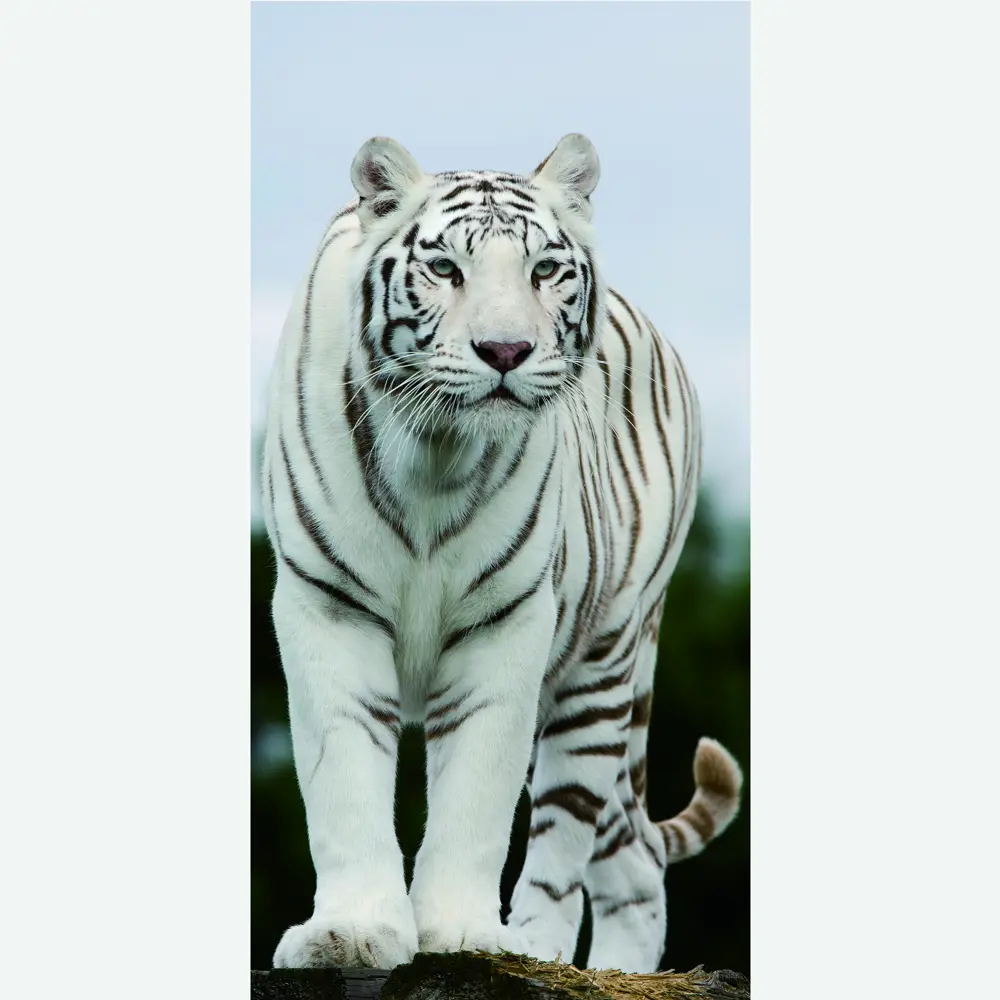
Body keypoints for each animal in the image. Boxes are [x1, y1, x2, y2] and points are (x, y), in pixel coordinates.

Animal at [260, 134, 743, 975]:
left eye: (544, 270)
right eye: (444, 268)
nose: (506, 350)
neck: (434, 451)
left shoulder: (505, 622)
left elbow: (476, 797)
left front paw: (460, 933)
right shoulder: (328, 607)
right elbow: (344, 782)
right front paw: (350, 933)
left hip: (601, 670)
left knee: (570, 847)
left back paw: (538, 951)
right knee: (632, 864)